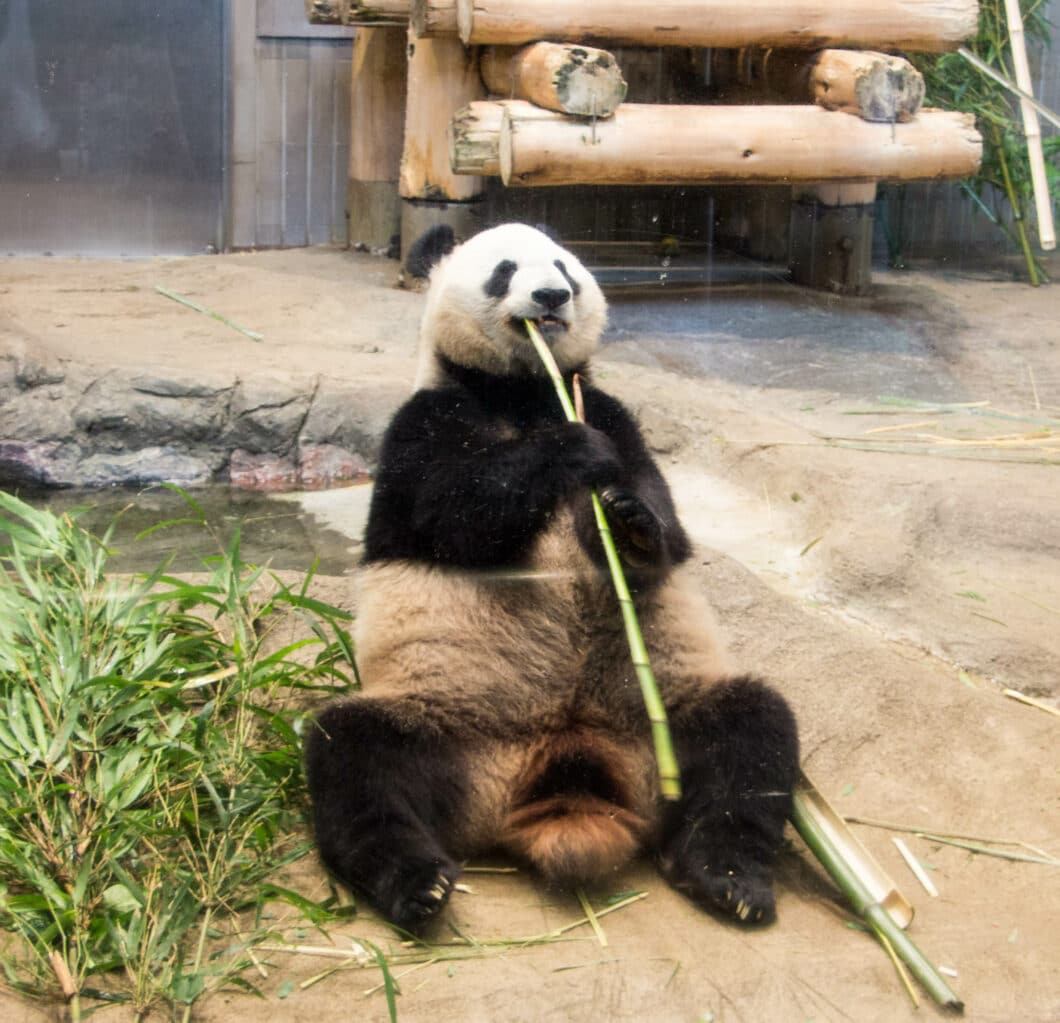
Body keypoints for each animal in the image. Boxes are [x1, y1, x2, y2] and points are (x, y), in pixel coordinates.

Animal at [303, 223, 797, 932]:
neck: (526, 393)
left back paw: (729, 879)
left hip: (663, 723)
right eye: (505, 270)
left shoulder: (615, 413)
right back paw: (418, 885)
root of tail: (565, 779)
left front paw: (625, 519)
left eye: (565, 267)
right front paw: (567, 452)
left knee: (752, 737)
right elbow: (452, 510)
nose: (551, 296)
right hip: (447, 723)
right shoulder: (424, 422)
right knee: (356, 758)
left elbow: (664, 526)